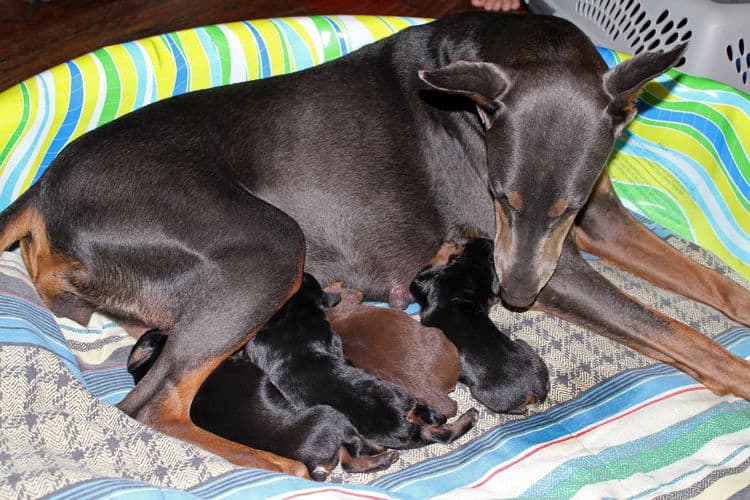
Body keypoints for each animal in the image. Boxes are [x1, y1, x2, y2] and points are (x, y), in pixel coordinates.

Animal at [130, 328, 402, 480]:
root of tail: (314, 463)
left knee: (348, 461)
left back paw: (382, 460)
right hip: (332, 417)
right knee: (353, 450)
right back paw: (380, 450)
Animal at [412, 238, 552, 414]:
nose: (488, 239)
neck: (469, 269)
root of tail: (534, 390)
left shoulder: (424, 280)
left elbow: (429, 265)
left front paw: (447, 248)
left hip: (486, 395)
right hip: (524, 346)